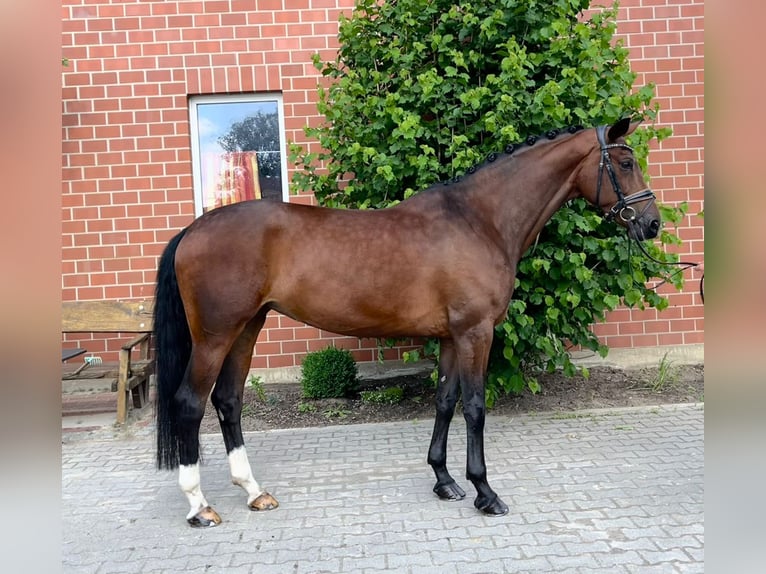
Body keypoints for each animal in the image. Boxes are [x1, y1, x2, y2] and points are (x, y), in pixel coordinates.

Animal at [154, 119, 660, 528]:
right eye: (626, 162)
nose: (652, 223)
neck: (480, 221)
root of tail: (192, 230)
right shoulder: (476, 333)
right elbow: (475, 407)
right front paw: (485, 492)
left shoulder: (453, 337)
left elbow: (445, 401)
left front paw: (444, 481)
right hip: (215, 336)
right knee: (190, 404)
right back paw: (200, 507)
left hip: (247, 328)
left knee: (228, 401)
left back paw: (254, 492)